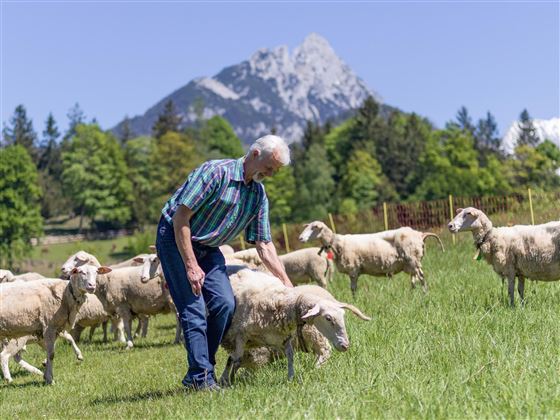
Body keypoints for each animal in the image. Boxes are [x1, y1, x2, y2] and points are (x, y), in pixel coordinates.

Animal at [220, 268, 372, 386]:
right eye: (328, 318)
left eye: (343, 315)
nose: (345, 345)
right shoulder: (240, 335)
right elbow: (235, 359)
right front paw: (227, 381)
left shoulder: (284, 337)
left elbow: (290, 357)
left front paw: (290, 378)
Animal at [300, 221, 444, 296]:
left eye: (313, 227)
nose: (300, 238)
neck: (336, 243)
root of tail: (420, 234)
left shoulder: (353, 269)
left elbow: (353, 289)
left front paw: (355, 301)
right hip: (410, 263)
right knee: (414, 279)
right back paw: (412, 295)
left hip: (412, 259)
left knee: (421, 277)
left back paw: (425, 294)